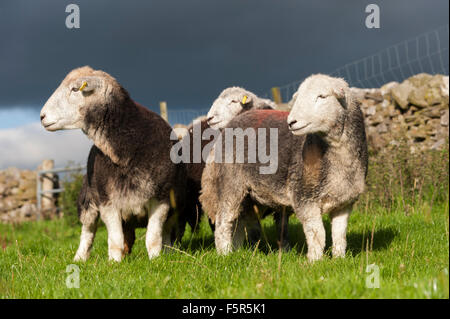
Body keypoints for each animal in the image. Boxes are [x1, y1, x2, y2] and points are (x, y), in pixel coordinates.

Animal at [39, 67, 185, 262]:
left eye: (75, 89)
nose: (42, 116)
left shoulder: (161, 199)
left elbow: (153, 238)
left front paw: (156, 260)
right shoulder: (107, 201)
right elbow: (115, 239)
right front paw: (114, 263)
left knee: (166, 233)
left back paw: (168, 253)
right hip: (87, 200)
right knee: (87, 232)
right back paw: (80, 258)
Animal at [199, 75, 368, 262]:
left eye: (322, 96)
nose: (291, 122)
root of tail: (235, 120)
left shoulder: (344, 203)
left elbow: (339, 234)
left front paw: (339, 259)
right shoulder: (304, 198)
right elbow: (317, 233)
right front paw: (315, 261)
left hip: (247, 196)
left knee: (238, 221)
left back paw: (236, 250)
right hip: (231, 182)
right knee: (224, 221)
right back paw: (225, 254)